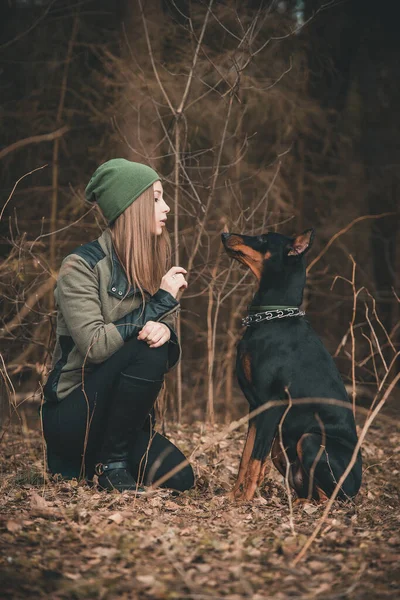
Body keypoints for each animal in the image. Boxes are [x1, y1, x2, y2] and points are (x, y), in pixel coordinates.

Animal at [222, 230, 362, 502]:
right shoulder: (255, 407)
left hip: (310, 440)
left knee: (331, 498)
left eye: (263, 239)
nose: (224, 234)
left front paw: (244, 501)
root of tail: (357, 488)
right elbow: (245, 457)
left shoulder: (272, 405)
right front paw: (232, 496)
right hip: (281, 446)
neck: (273, 317)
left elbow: (254, 460)